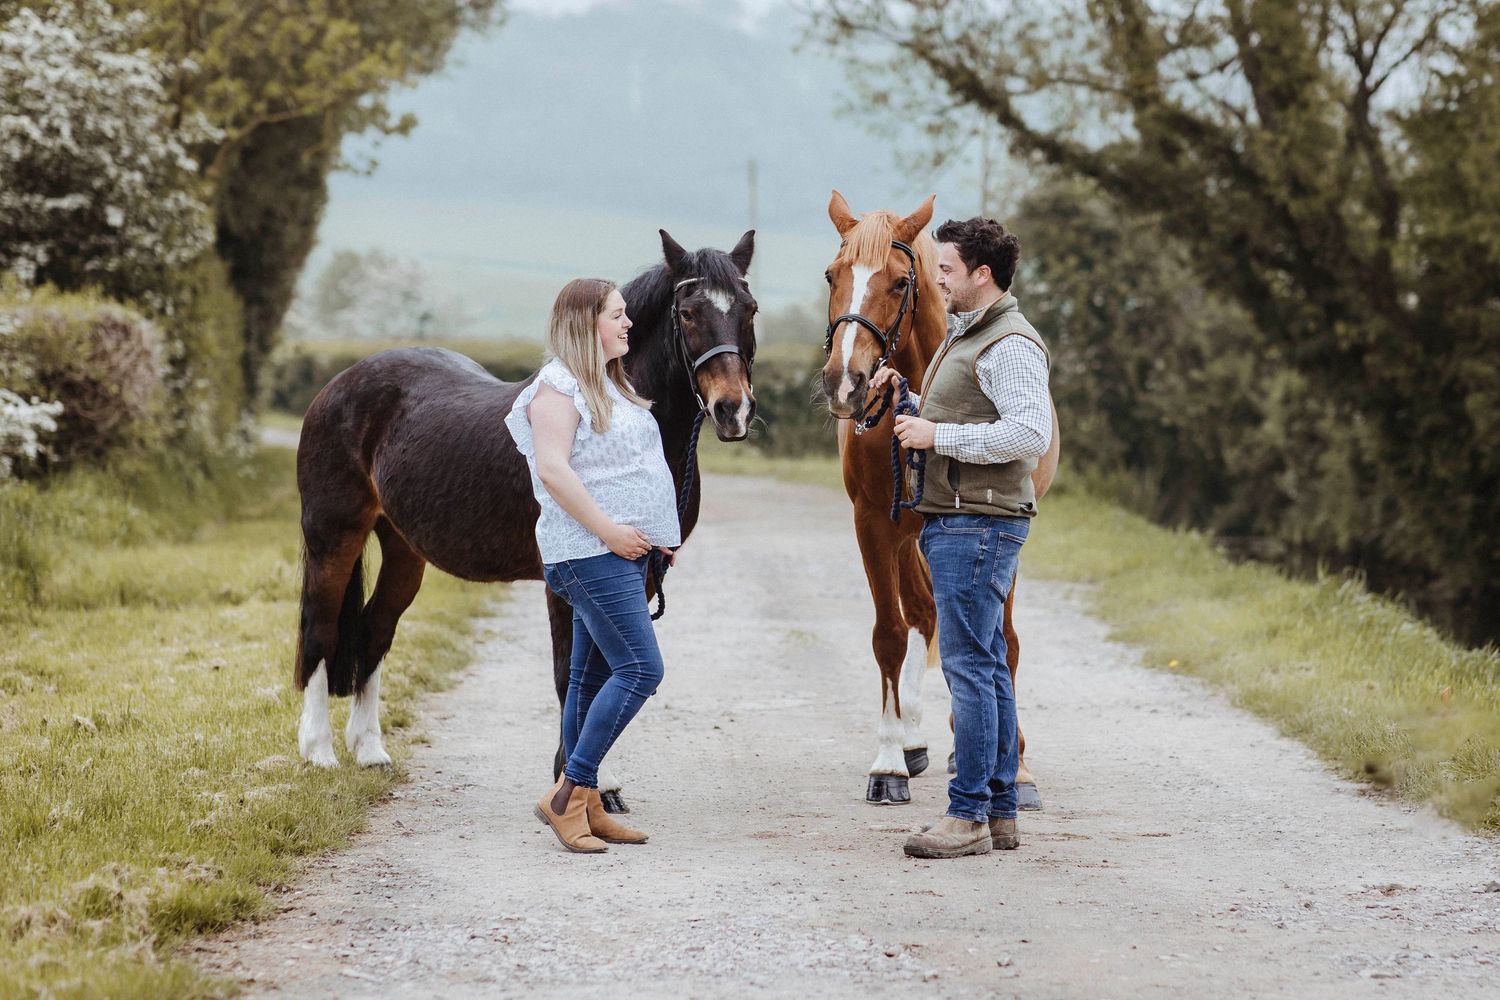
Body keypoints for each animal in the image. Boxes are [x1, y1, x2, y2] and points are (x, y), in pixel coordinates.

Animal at [293, 229, 758, 815]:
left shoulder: (637, 573)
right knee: (321, 627)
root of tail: (338, 384)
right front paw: (583, 785)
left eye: (748, 309)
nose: (732, 410)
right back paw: (319, 752)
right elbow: (570, 674)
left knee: (375, 630)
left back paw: (371, 750)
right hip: (334, 535)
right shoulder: (567, 580)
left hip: (403, 549)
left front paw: (596, 781)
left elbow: (604, 671)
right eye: (689, 312)